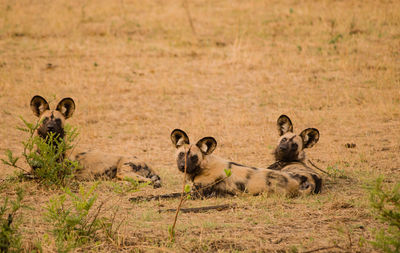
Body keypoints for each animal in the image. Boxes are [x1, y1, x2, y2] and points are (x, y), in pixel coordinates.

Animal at [28, 95, 162, 188]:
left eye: (57, 120)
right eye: (45, 120)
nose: (50, 127)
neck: (50, 149)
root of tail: (148, 164)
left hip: (124, 172)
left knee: (150, 182)